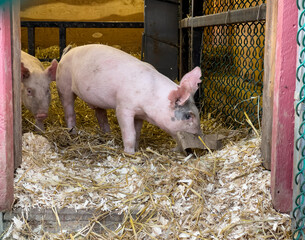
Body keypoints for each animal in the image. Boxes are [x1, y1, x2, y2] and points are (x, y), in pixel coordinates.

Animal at [56, 44, 202, 153]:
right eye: (188, 116)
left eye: (198, 113)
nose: (199, 137)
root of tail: (66, 53)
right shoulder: (123, 107)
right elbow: (130, 132)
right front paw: (130, 153)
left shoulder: (139, 115)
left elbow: (137, 132)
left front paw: (136, 149)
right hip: (63, 85)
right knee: (69, 111)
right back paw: (73, 133)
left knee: (101, 115)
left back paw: (107, 134)